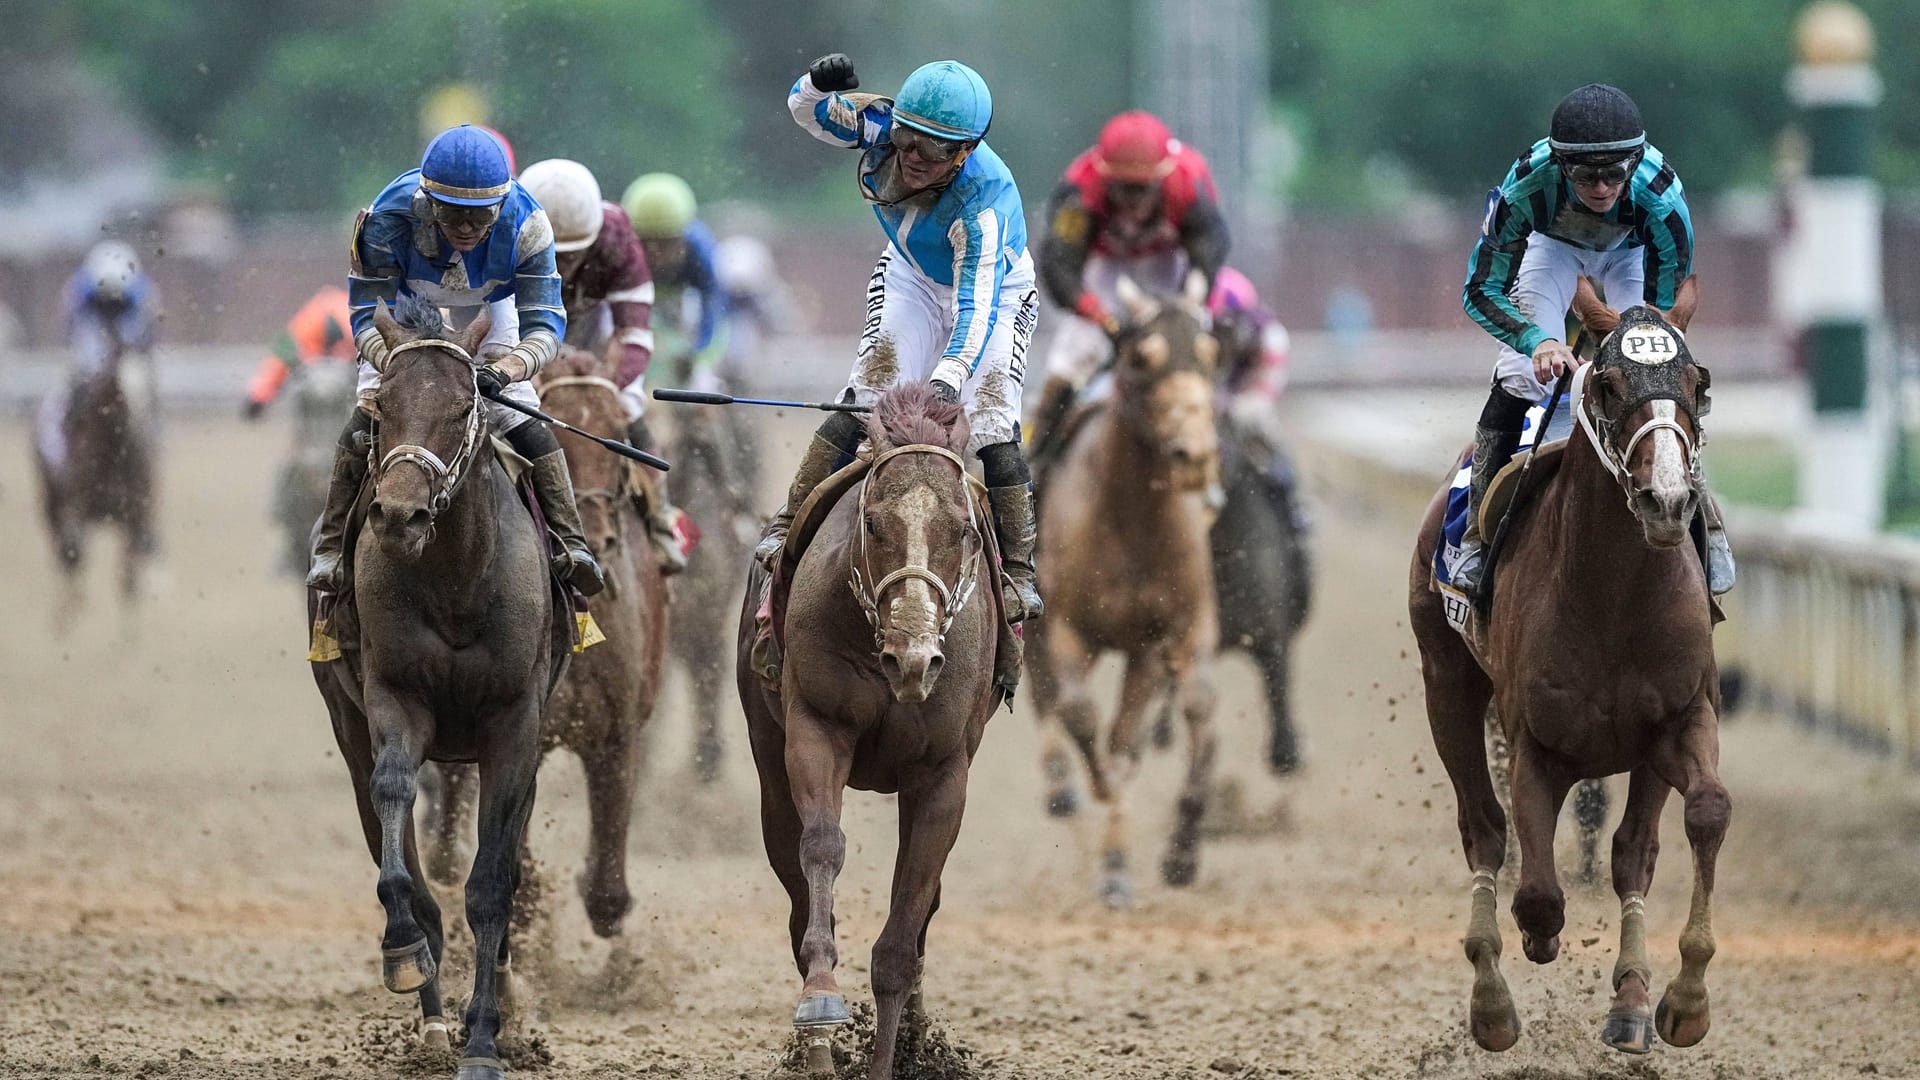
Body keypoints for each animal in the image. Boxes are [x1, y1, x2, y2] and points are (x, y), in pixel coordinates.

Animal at [34, 319, 158, 614]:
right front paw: (67, 611)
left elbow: (128, 579)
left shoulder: (134, 515)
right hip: (50, 501)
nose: (141, 429)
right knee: (63, 551)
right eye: (120, 386)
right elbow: (74, 553)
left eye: (148, 381)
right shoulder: (75, 506)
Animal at [307, 294, 560, 1076]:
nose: (397, 514)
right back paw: (431, 1019)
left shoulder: (513, 727)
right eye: (383, 408)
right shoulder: (393, 698)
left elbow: (491, 888)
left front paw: (485, 1039)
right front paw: (407, 955)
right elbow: (400, 833)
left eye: (460, 407)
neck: (455, 579)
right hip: (347, 722)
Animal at [733, 382, 1006, 1068]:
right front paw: (821, 1007)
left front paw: (897, 1054)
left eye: (963, 529)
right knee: (795, 878)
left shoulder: (942, 774)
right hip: (768, 759)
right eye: (876, 522)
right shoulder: (816, 728)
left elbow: (903, 937)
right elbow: (821, 848)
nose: (912, 657)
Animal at [1029, 272, 1221, 903]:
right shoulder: (1064, 628)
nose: (1194, 456)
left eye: (1212, 353)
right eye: (1141, 358)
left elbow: (1141, 734)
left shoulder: (1160, 637)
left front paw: (1141, 860)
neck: (1132, 520)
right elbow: (1084, 718)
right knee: (1048, 699)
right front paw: (1103, 798)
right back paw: (1062, 787)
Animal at [1405, 292, 1735, 1053]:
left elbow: (1702, 813)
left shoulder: (1680, 718)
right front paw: (1536, 944)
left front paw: (1683, 999)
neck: (1613, 593)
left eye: (1698, 382)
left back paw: (1631, 1000)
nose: (1667, 500)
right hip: (1447, 685)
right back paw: (1493, 1000)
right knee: (1484, 828)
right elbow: (1537, 892)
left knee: (1632, 850)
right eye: (1608, 384)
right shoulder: (1537, 741)